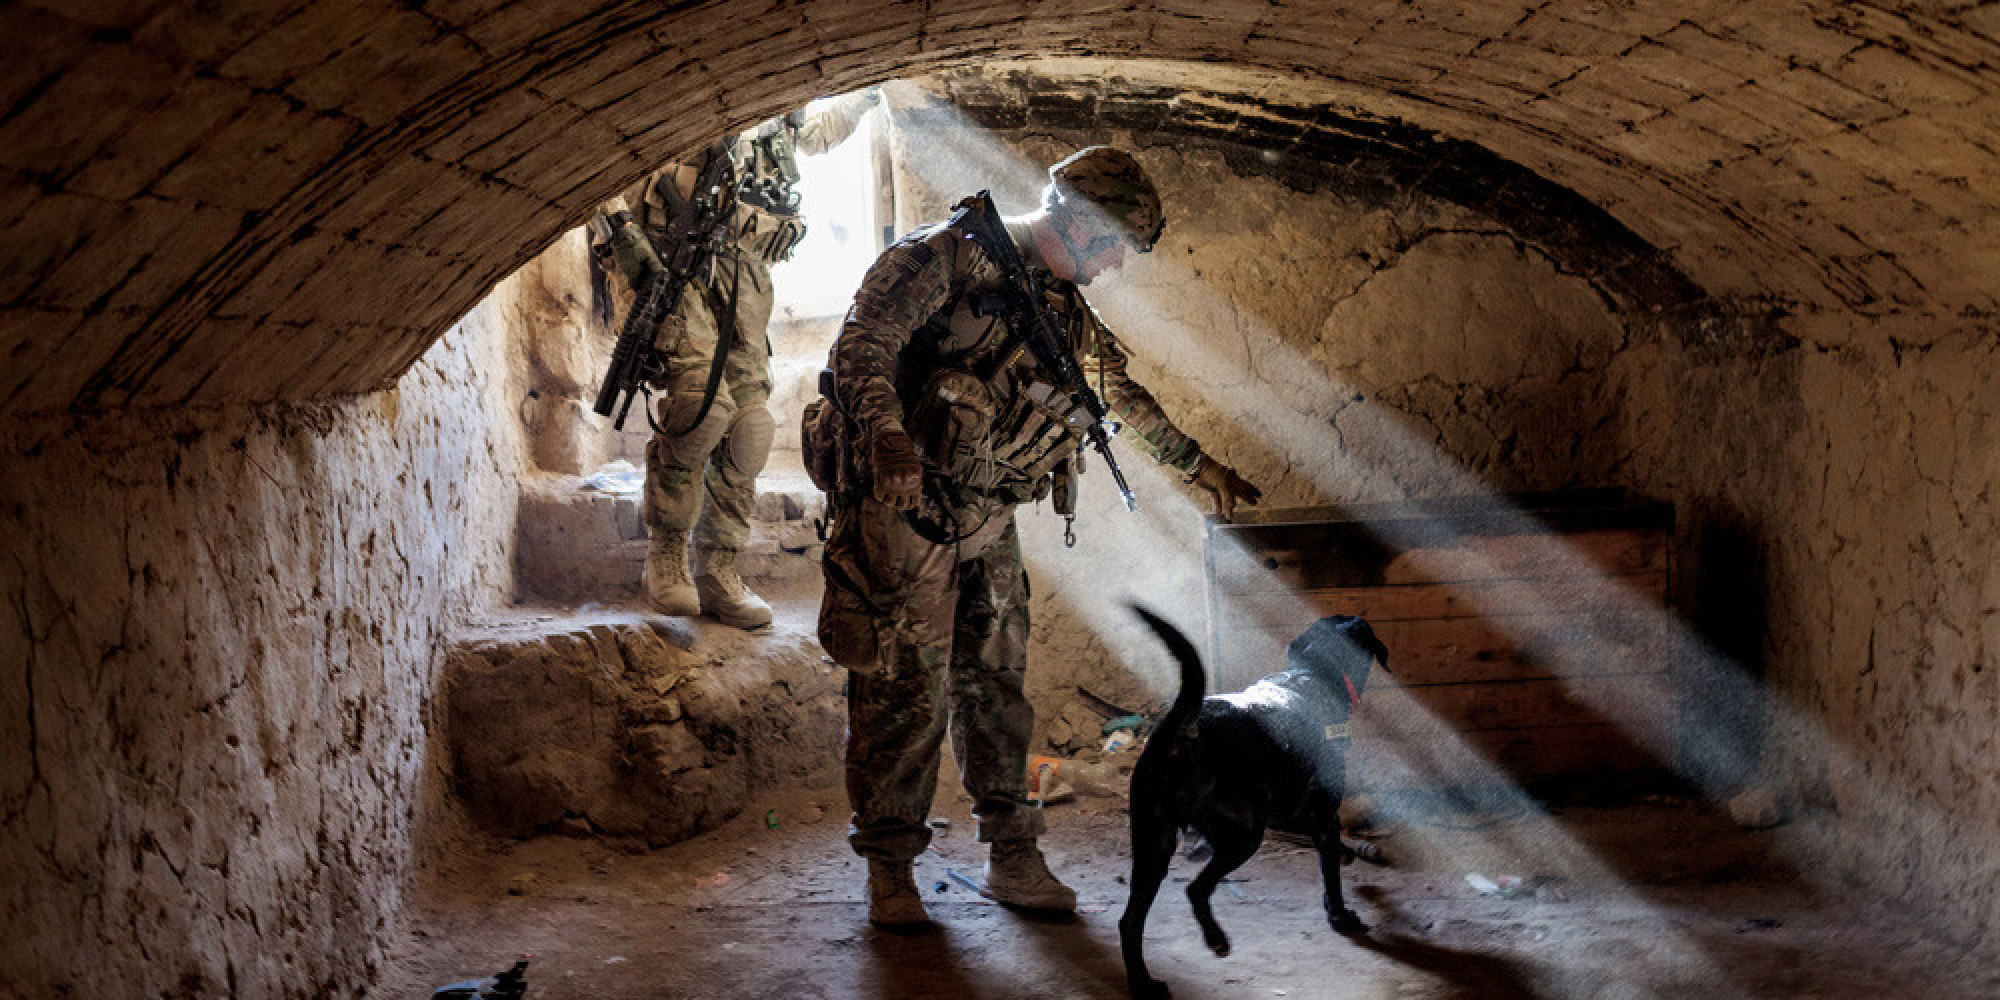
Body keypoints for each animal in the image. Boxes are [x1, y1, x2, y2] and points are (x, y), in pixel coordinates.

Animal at [1128, 604, 1392, 996]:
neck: (1311, 675)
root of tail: (1180, 731)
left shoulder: (1293, 814)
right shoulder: (1323, 816)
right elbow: (1331, 876)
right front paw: (1340, 916)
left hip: (1153, 846)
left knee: (1130, 922)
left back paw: (1142, 982)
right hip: (1245, 835)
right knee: (1195, 889)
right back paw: (1216, 939)